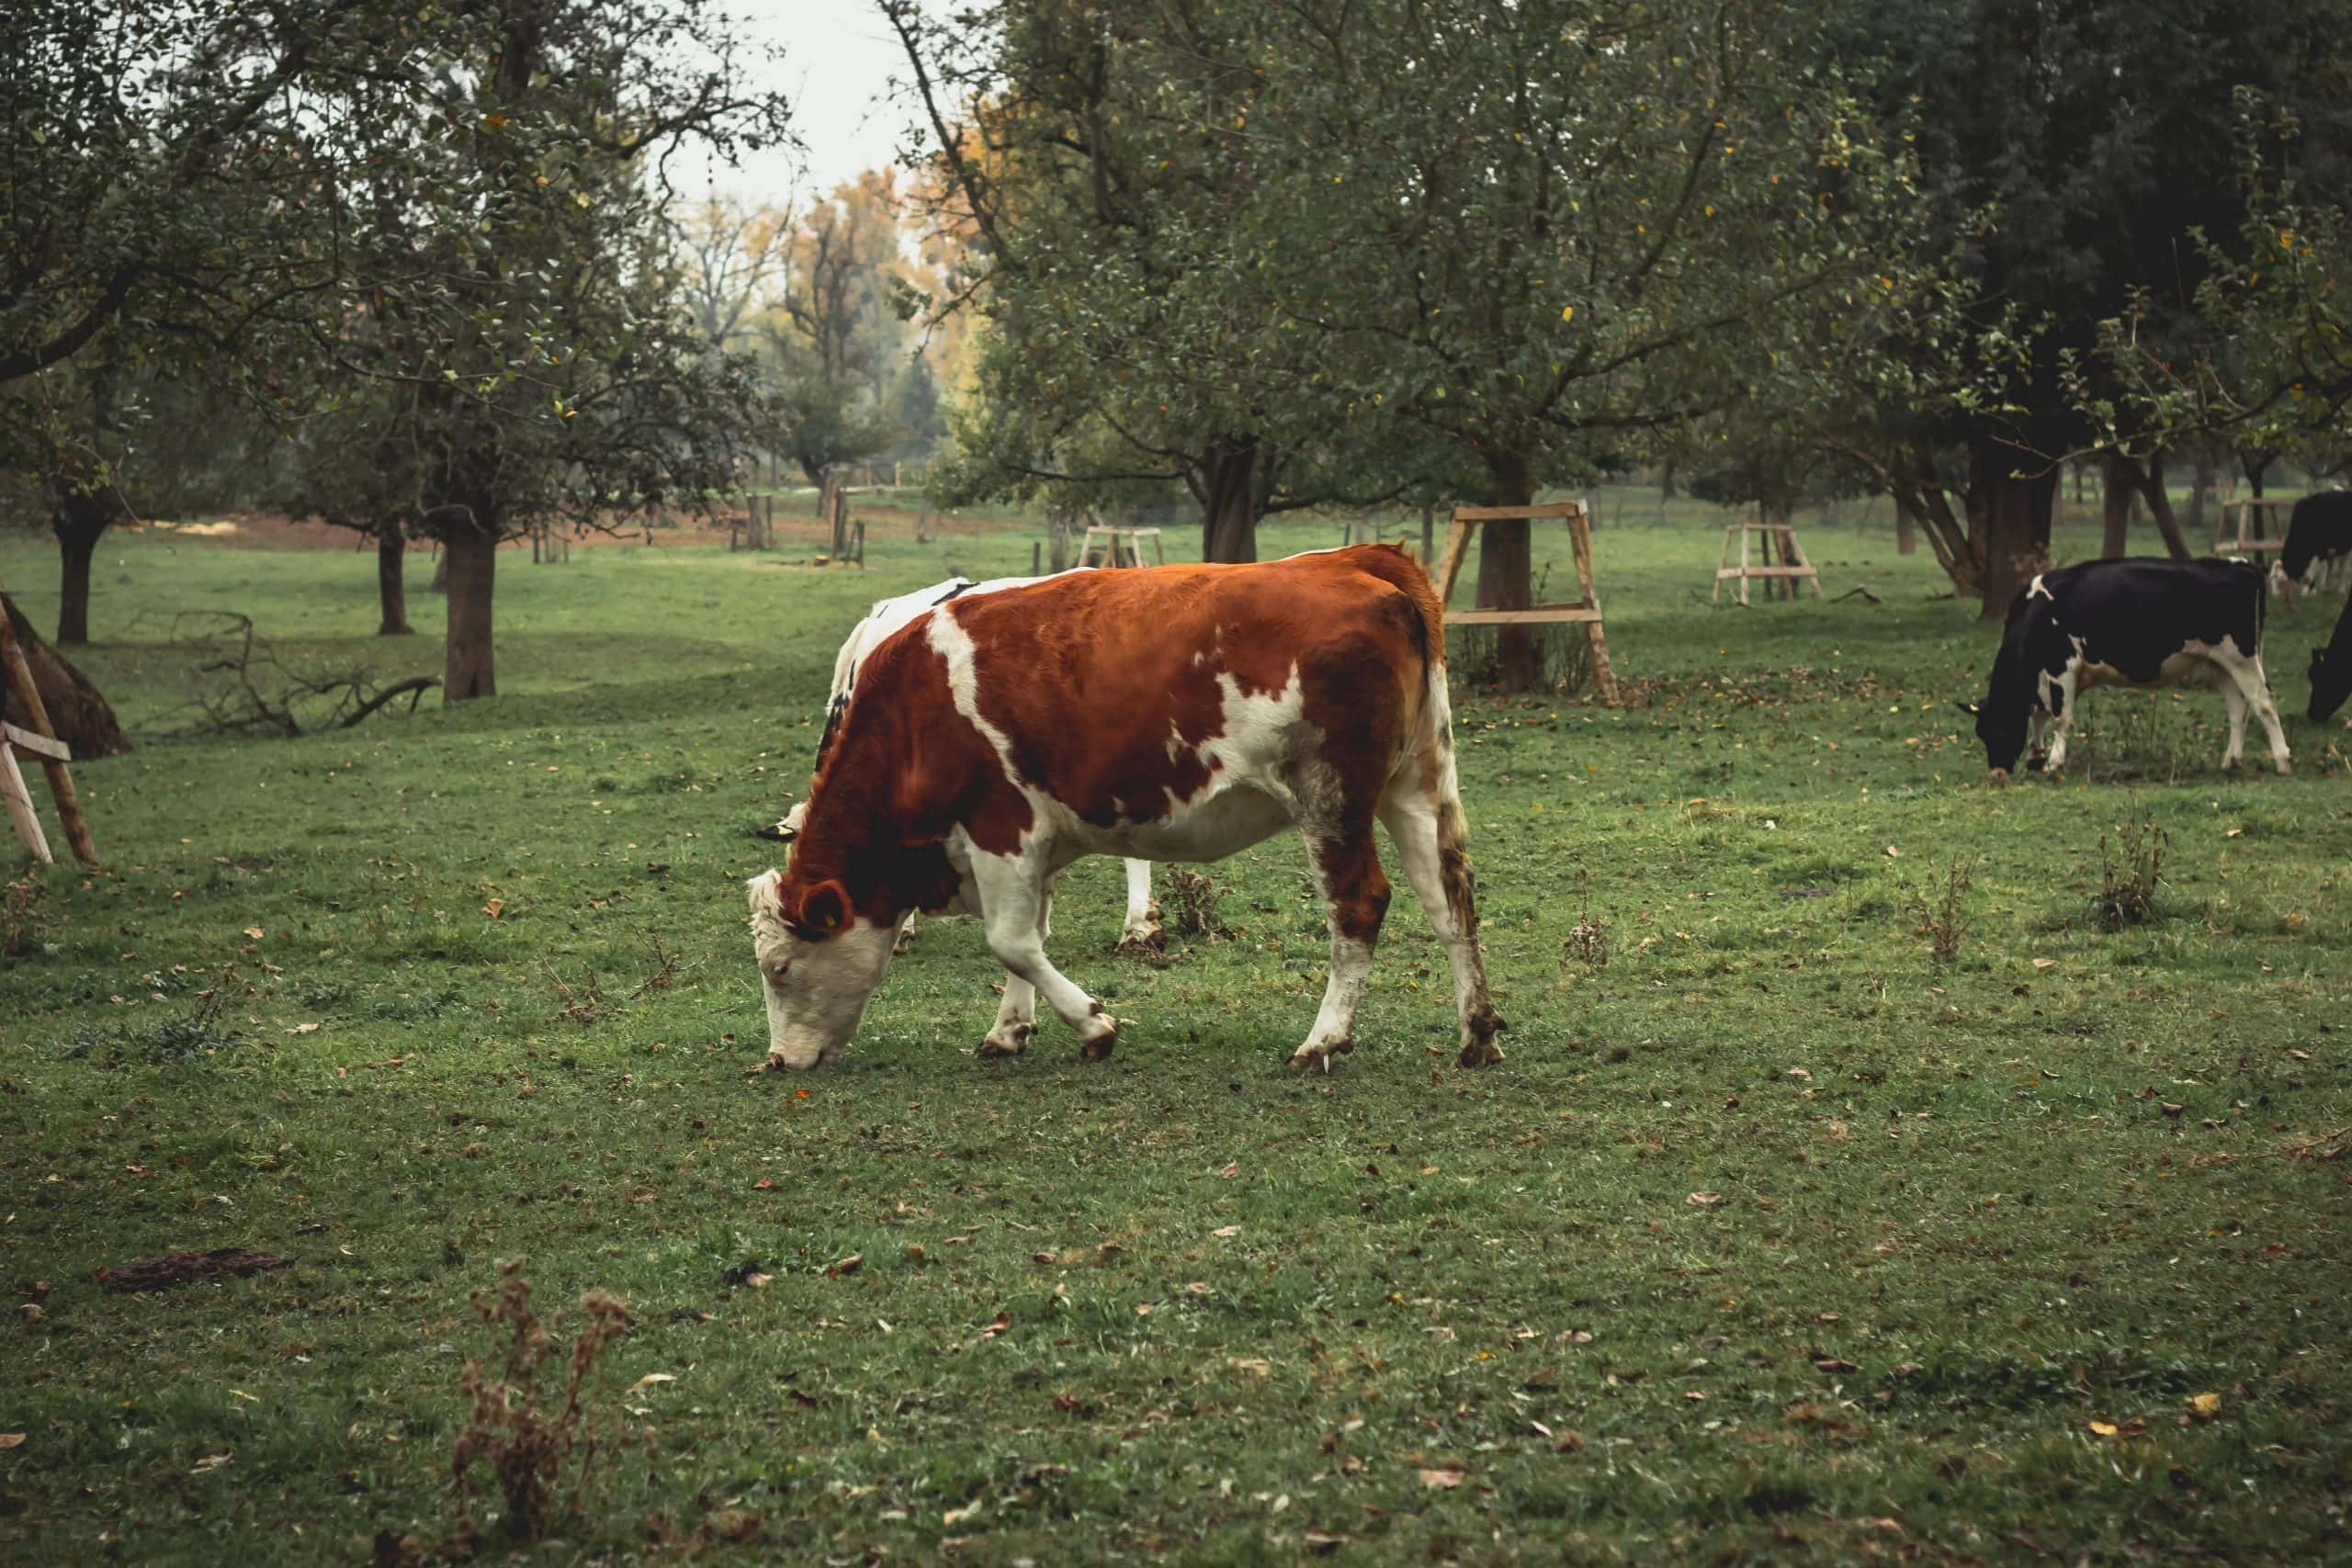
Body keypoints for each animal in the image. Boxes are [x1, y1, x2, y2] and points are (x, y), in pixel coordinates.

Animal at [1967, 558, 2291, 780]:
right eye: (1981, 733)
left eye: (2002, 727)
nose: (1997, 773)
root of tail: (2239, 564)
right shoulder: (2045, 678)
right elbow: (2040, 714)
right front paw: (2035, 757)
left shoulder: (2063, 665)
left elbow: (2060, 718)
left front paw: (2053, 763)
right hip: (2220, 662)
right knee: (2238, 708)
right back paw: (2230, 762)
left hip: (2241, 656)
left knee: (2264, 701)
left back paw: (2282, 761)